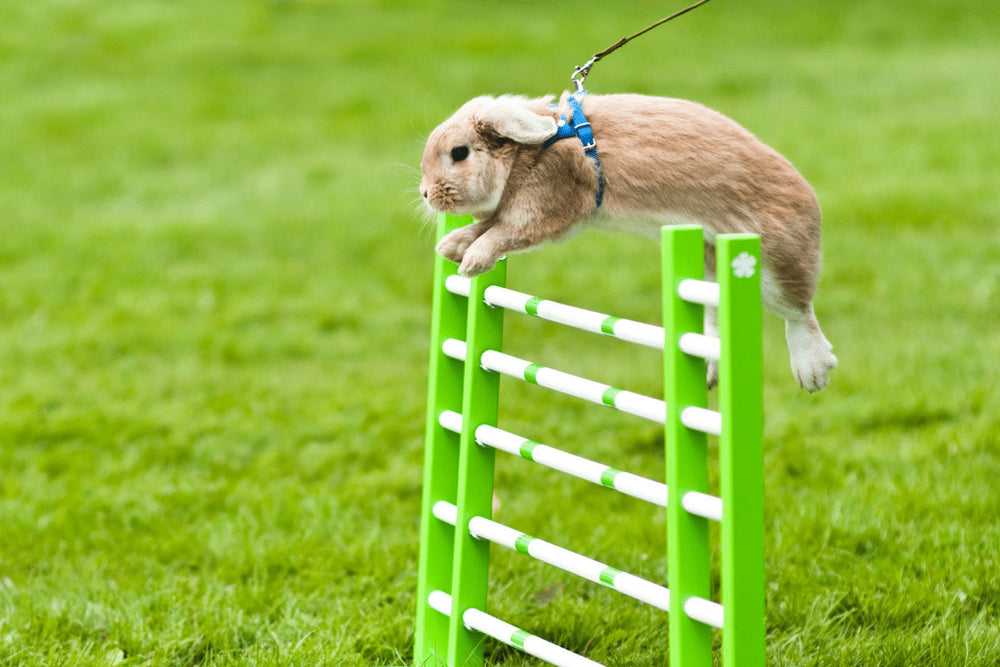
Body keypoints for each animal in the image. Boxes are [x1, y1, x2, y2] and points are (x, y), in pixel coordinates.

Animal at [419, 92, 837, 392]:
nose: (426, 194)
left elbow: (499, 234)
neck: (534, 149)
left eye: (459, 153)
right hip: (708, 268)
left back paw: (814, 372)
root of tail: (809, 199)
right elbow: (484, 226)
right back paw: (709, 372)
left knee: (799, 314)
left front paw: (472, 261)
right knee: (714, 322)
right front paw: (451, 246)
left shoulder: (542, 210)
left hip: (771, 267)